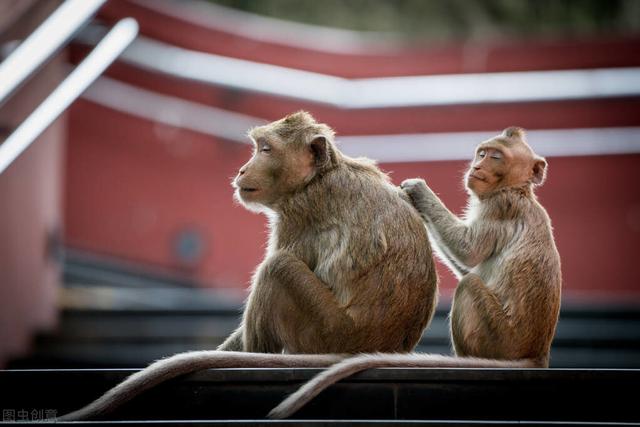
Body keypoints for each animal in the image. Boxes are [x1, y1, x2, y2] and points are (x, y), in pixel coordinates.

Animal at [60, 111, 438, 422]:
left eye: (266, 149)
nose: (242, 169)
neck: (319, 176)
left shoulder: (299, 214)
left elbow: (283, 259)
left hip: (324, 332)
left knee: (277, 268)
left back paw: (255, 355)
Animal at [268, 125, 564, 420]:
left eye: (496, 157)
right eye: (482, 153)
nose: (477, 166)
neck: (518, 190)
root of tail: (537, 353)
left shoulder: (500, 207)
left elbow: (468, 251)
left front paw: (418, 191)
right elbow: (468, 262)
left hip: (501, 338)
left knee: (469, 284)